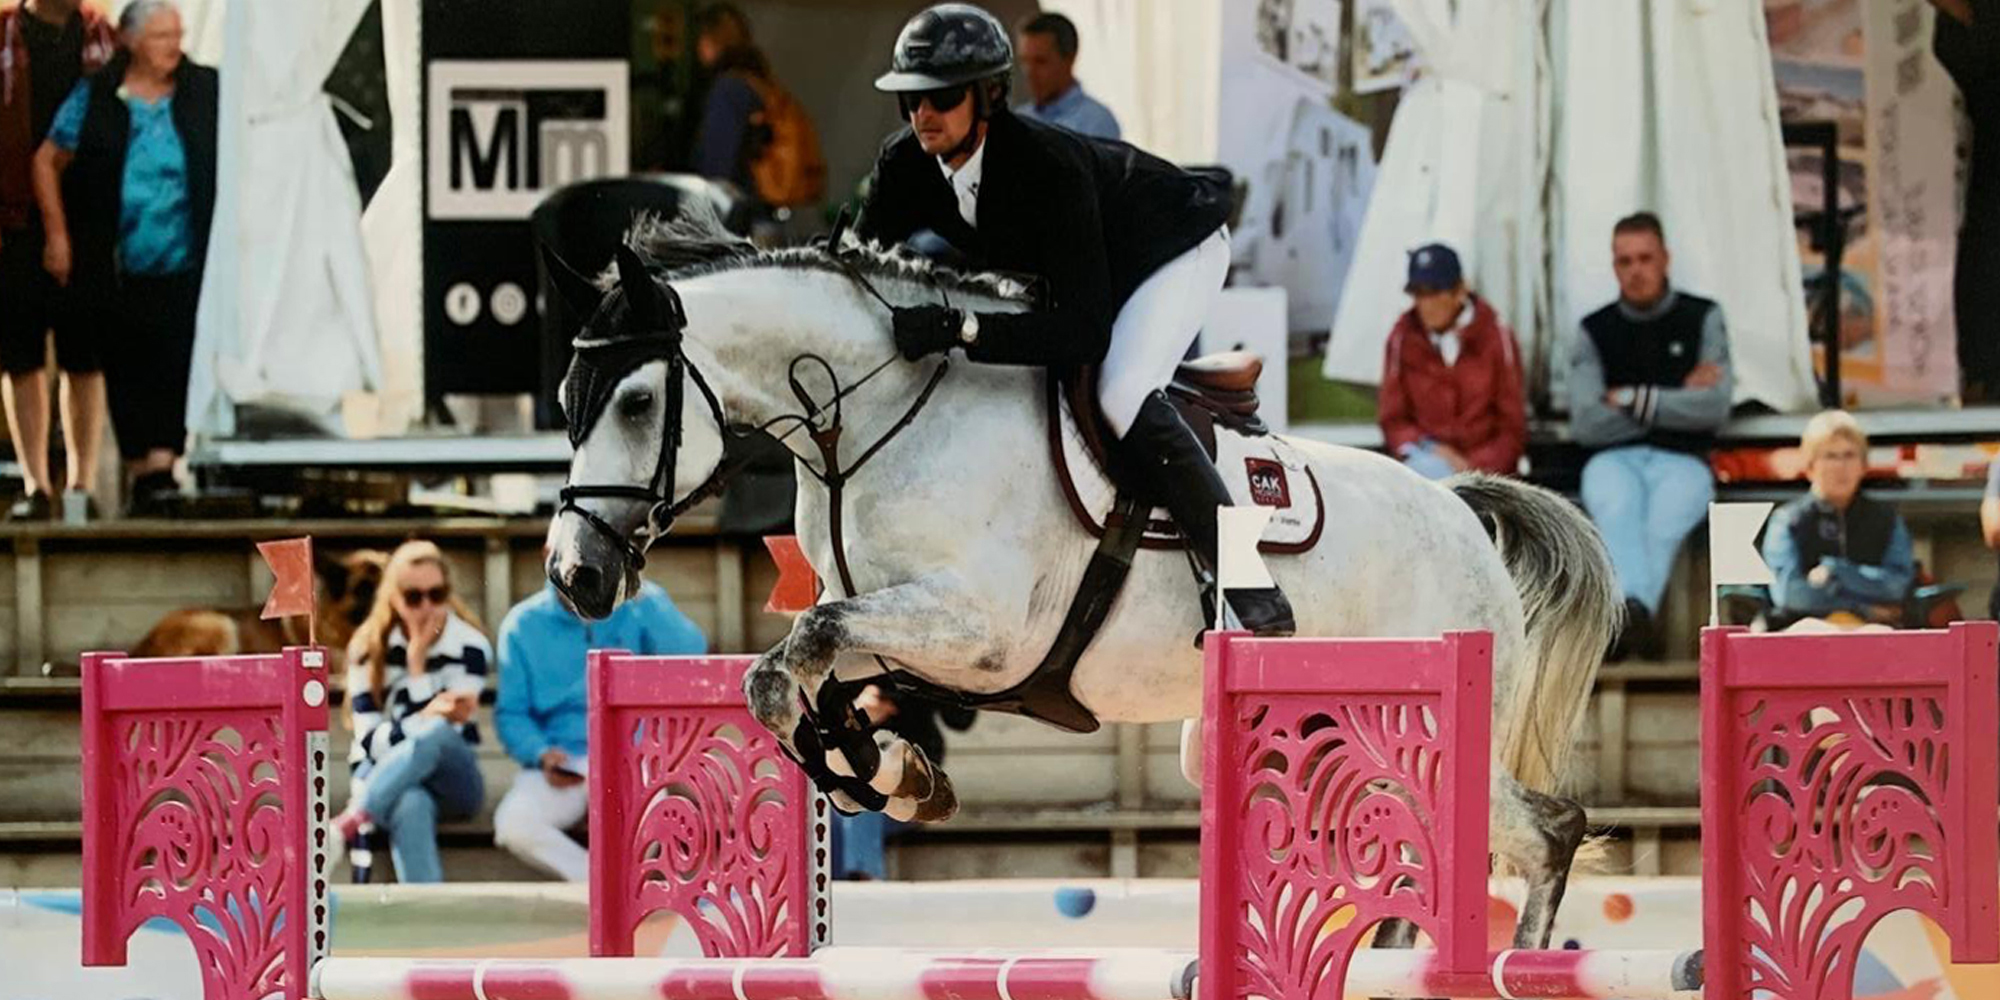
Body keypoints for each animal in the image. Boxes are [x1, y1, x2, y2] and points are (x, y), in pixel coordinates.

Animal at [544, 208, 1621, 949]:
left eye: (636, 402)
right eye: (565, 396)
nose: (574, 576)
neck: (882, 417)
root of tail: (1459, 511)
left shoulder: (982, 631)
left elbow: (799, 654)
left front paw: (885, 771)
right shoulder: (901, 627)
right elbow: (804, 675)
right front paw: (893, 773)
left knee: (1542, 834)